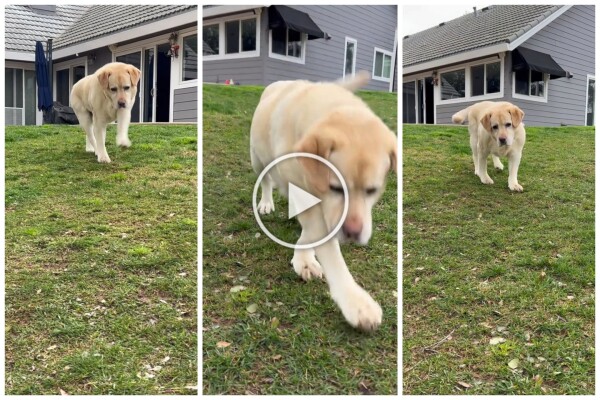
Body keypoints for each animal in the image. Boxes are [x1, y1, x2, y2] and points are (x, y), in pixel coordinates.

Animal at [250, 72, 396, 332]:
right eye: (336, 187)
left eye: (372, 190)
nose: (353, 233)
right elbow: (327, 247)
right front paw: (356, 302)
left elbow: (312, 233)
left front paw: (303, 257)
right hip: (258, 159)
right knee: (265, 180)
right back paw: (266, 202)